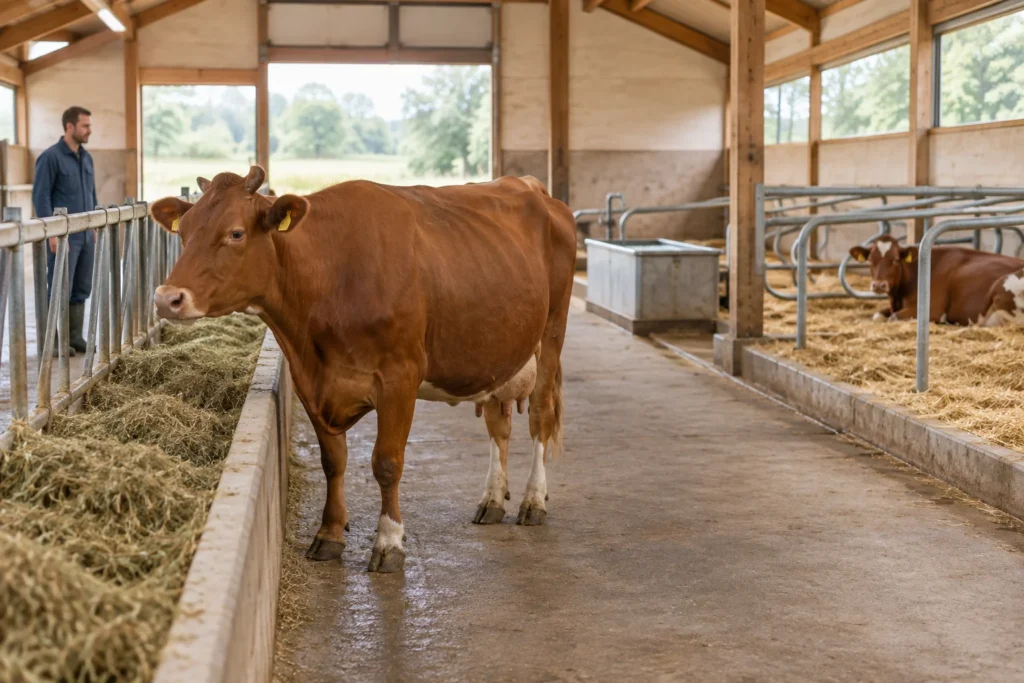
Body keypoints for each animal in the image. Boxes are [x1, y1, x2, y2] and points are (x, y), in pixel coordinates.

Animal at [150, 166, 576, 573]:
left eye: (236, 233)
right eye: (183, 233)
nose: (167, 298)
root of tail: (532, 187)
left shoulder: (400, 378)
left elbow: (386, 463)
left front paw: (389, 542)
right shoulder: (311, 382)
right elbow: (333, 462)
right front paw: (329, 534)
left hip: (552, 333)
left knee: (539, 416)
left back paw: (533, 501)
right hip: (496, 352)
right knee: (497, 424)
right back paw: (492, 499)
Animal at [849, 235, 1024, 326]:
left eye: (896, 260)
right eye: (871, 260)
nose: (879, 285)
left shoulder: (933, 309)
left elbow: (893, 318)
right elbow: (877, 315)